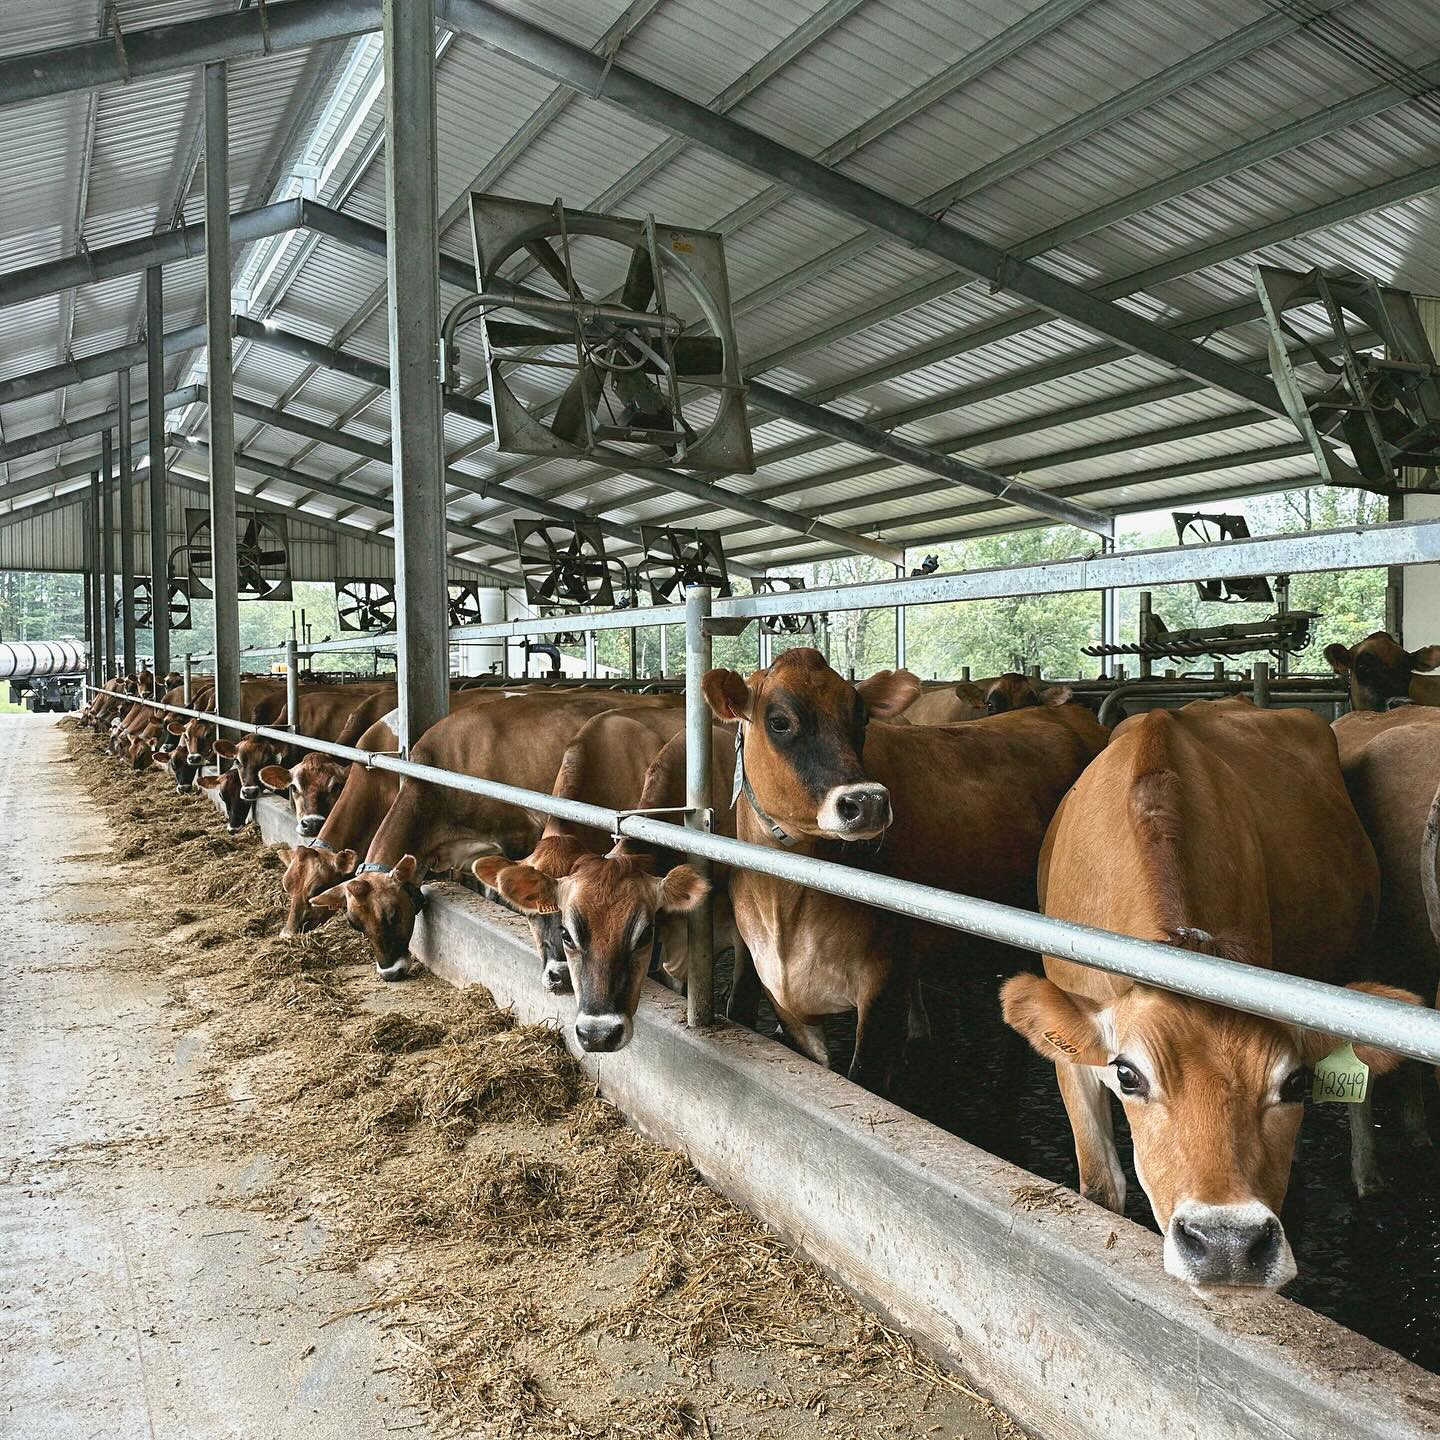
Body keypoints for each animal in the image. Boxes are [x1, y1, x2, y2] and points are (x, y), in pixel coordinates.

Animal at [699, 647, 1108, 1091]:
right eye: (779, 722)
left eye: (860, 717)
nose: (868, 802)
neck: (785, 906)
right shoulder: (783, 996)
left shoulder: (885, 983)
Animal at [1001, 699, 1420, 1290]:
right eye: (1128, 1075)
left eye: (1296, 1083)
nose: (1228, 1244)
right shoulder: (1074, 1056)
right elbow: (1100, 1187)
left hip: (1357, 950)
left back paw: (1369, 1179)